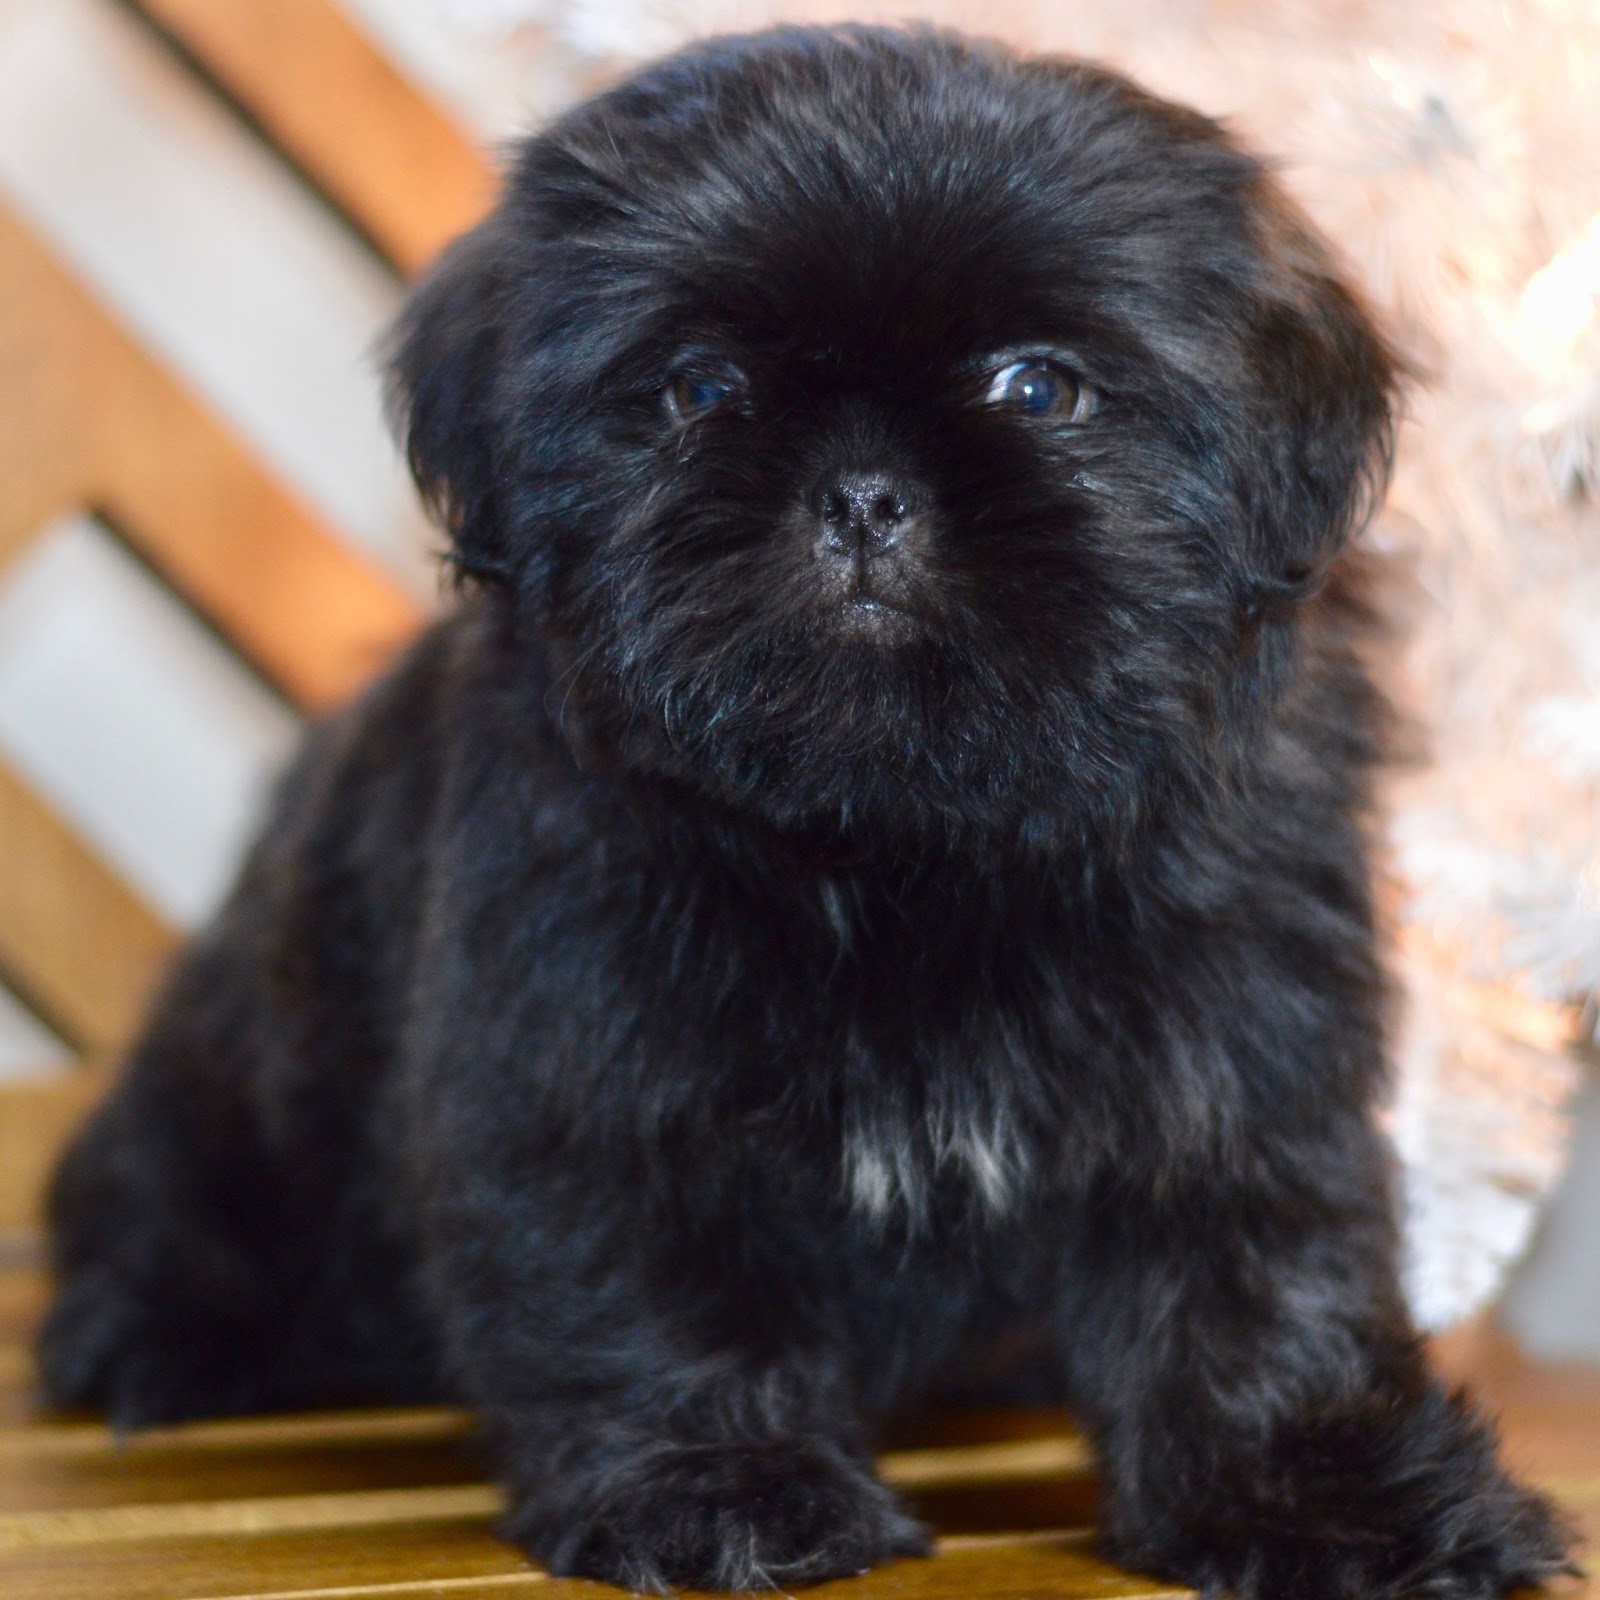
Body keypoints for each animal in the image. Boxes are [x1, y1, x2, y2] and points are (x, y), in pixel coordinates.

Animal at [40, 25, 1574, 1600]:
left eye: (1039, 390)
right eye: (699, 391)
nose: (863, 494)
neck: (899, 838)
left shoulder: (1229, 1055)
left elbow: (1256, 1282)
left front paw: (1329, 1496)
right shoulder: (592, 1054)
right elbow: (645, 1278)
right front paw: (716, 1482)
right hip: (238, 1081)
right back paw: (169, 1336)